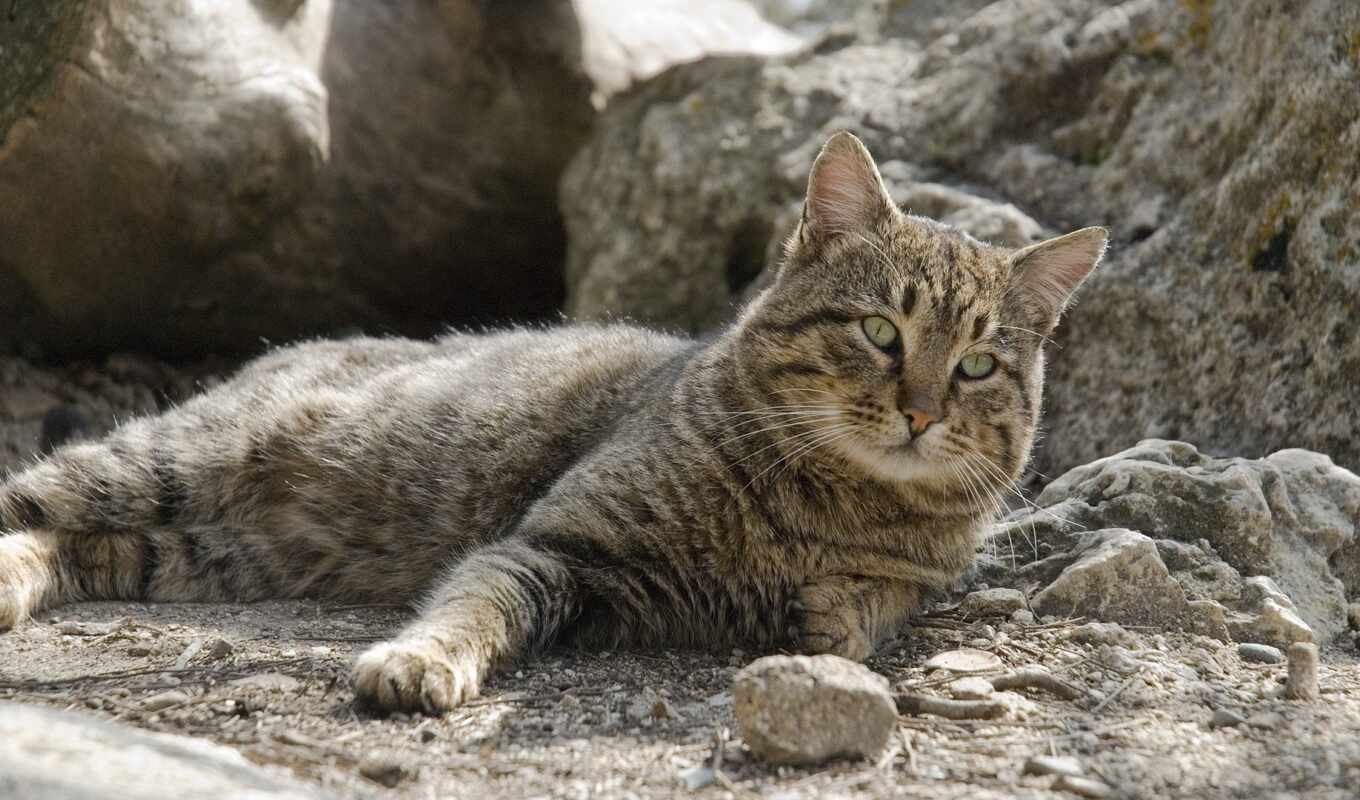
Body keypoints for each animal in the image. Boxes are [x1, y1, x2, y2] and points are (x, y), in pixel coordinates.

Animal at [0, 131, 1104, 712]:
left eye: (976, 365)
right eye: (881, 330)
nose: (919, 411)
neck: (826, 501)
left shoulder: (913, 572)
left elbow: (880, 603)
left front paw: (839, 612)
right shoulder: (557, 544)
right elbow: (474, 605)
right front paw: (418, 661)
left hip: (197, 550)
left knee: (71, 545)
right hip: (164, 462)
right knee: (32, 496)